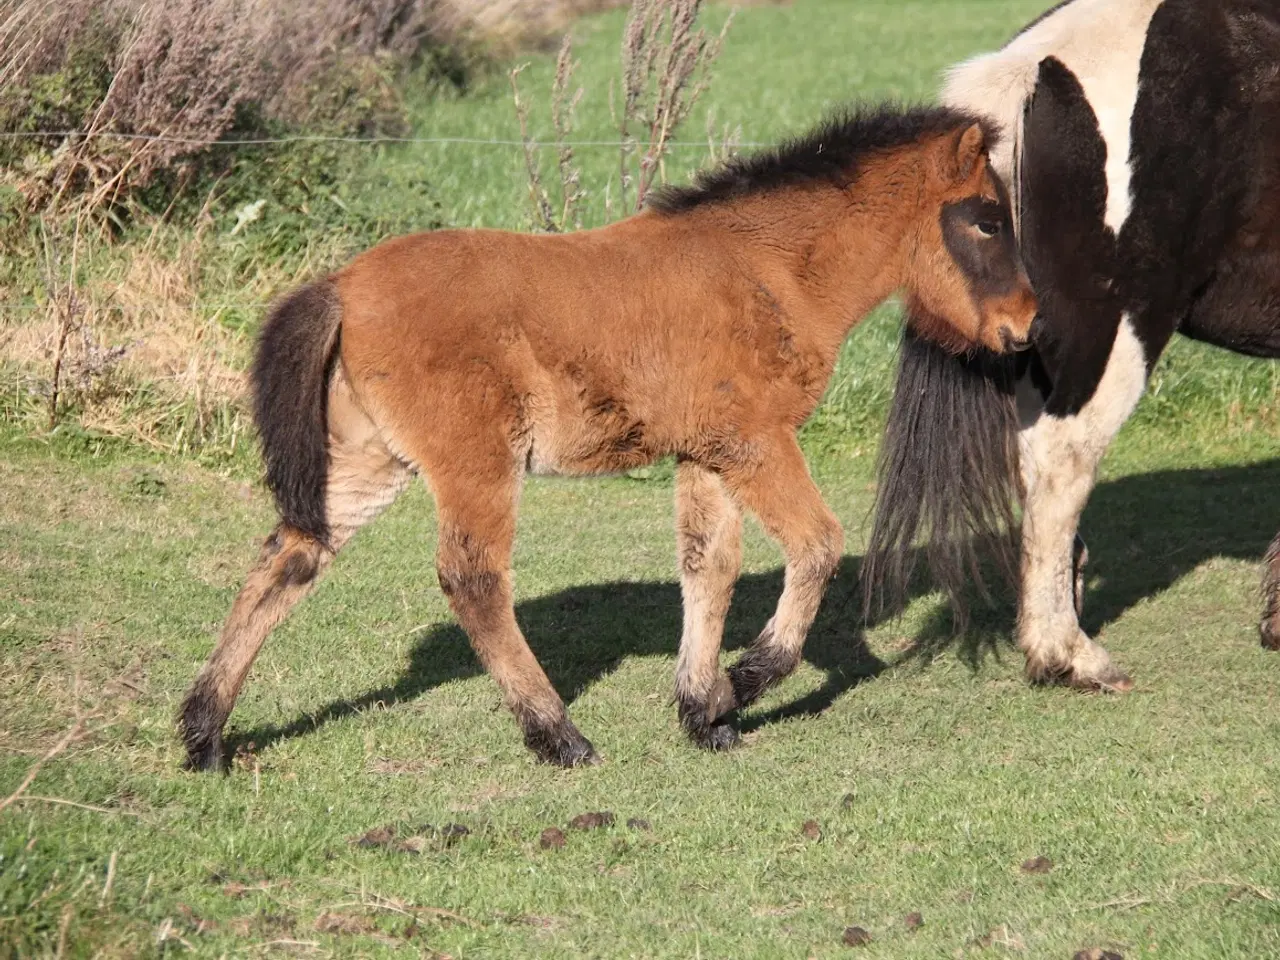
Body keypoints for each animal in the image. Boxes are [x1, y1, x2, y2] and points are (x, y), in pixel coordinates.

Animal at [180, 104, 1039, 773]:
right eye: (985, 220)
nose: (1028, 327)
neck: (768, 270)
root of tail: (342, 286)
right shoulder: (757, 439)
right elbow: (818, 545)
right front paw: (744, 683)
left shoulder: (706, 452)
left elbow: (709, 566)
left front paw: (702, 711)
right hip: (476, 462)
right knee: (472, 579)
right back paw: (559, 736)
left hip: (367, 462)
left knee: (290, 557)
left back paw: (204, 736)